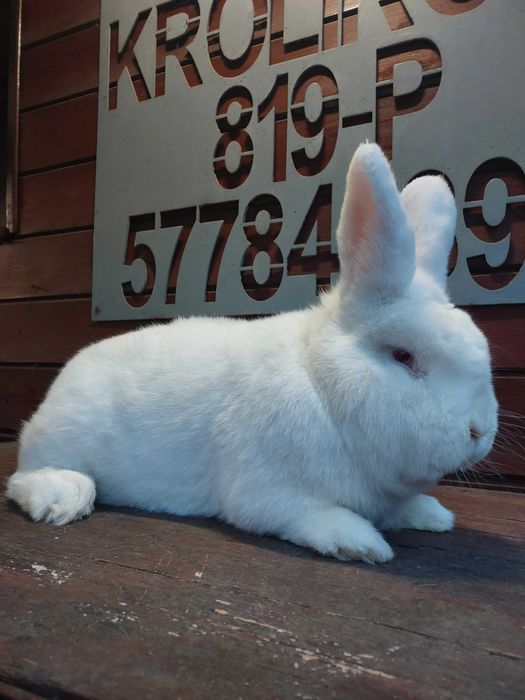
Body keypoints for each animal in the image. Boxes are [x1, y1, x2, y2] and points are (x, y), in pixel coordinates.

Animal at [5, 144, 496, 564]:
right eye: (402, 356)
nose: (478, 432)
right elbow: (306, 515)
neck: (321, 385)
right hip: (64, 437)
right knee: (24, 478)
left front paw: (431, 515)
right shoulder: (267, 490)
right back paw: (61, 497)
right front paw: (359, 543)